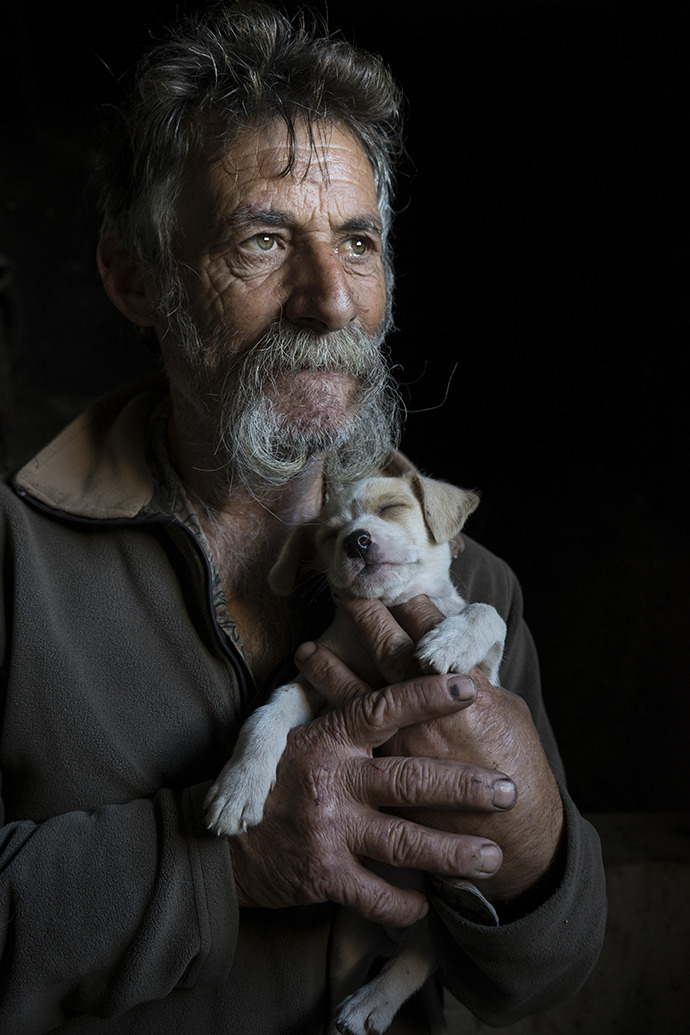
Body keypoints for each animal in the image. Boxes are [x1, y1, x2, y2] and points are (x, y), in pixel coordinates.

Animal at [205, 471, 507, 1035]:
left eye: (390, 508)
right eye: (327, 535)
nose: (356, 541)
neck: (389, 609)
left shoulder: (491, 678)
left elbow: (487, 613)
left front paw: (450, 640)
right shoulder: (312, 682)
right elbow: (268, 715)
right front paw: (238, 787)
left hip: (428, 921)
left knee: (421, 954)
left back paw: (374, 1000)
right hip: (347, 941)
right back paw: (351, 1011)